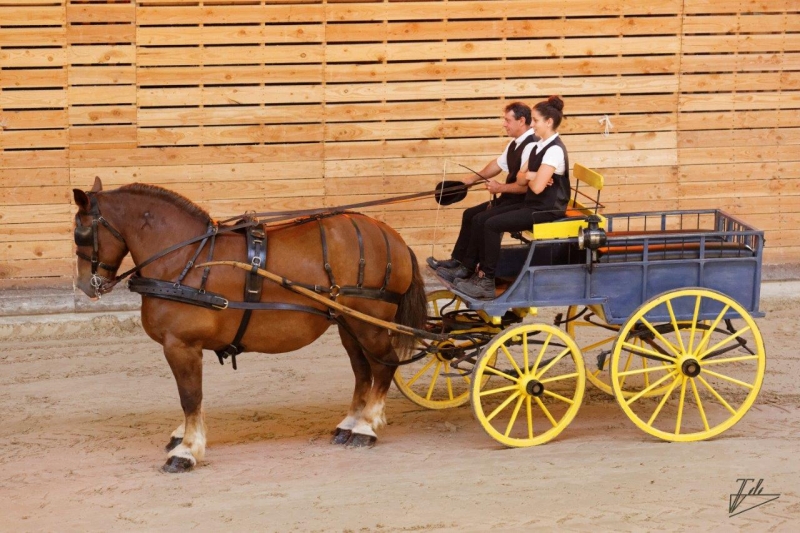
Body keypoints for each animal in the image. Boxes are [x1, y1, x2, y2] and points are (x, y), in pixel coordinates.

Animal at [72, 180, 428, 474]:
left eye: (82, 233)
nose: (85, 285)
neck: (185, 258)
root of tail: (391, 235)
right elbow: (192, 397)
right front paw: (185, 436)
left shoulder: (181, 345)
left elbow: (190, 396)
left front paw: (187, 450)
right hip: (348, 323)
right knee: (362, 370)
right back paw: (351, 422)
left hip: (368, 323)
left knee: (385, 365)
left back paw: (367, 426)